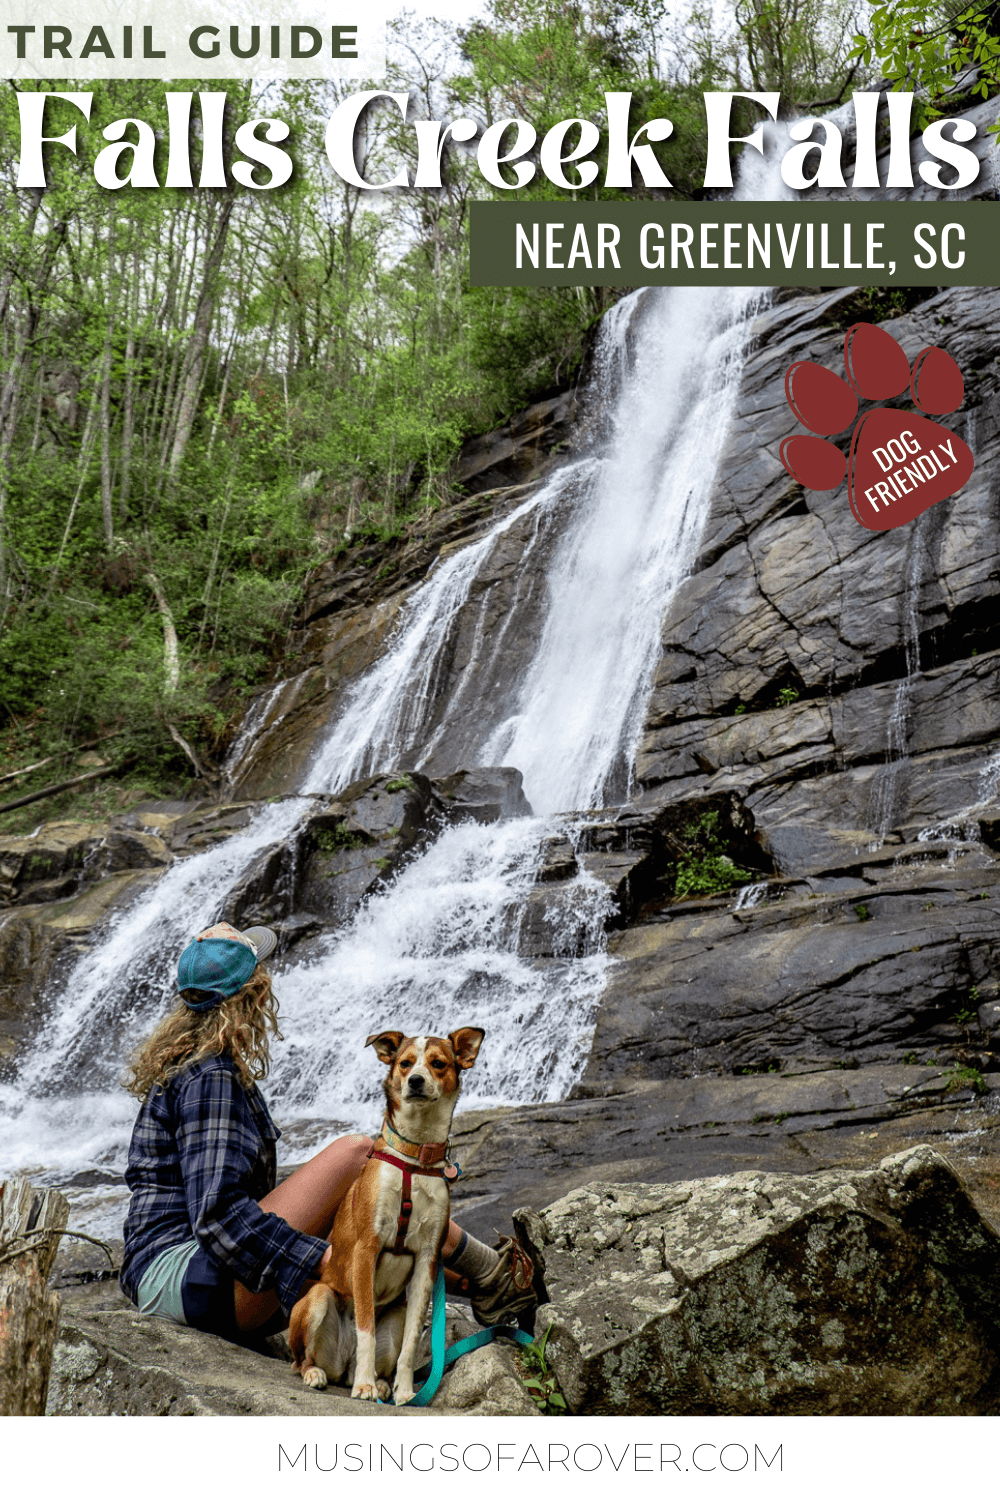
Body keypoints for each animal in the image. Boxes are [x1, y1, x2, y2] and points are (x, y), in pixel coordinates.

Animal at [287, 1026, 482, 1398]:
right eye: (405, 1063)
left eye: (438, 1063)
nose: (416, 1081)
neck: (415, 1157)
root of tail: (343, 1365)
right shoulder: (367, 1249)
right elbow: (366, 1326)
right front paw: (364, 1387)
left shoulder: (427, 1260)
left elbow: (410, 1344)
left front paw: (406, 1392)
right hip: (317, 1297)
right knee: (301, 1358)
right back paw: (327, 1374)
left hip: (396, 1313)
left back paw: (380, 1382)